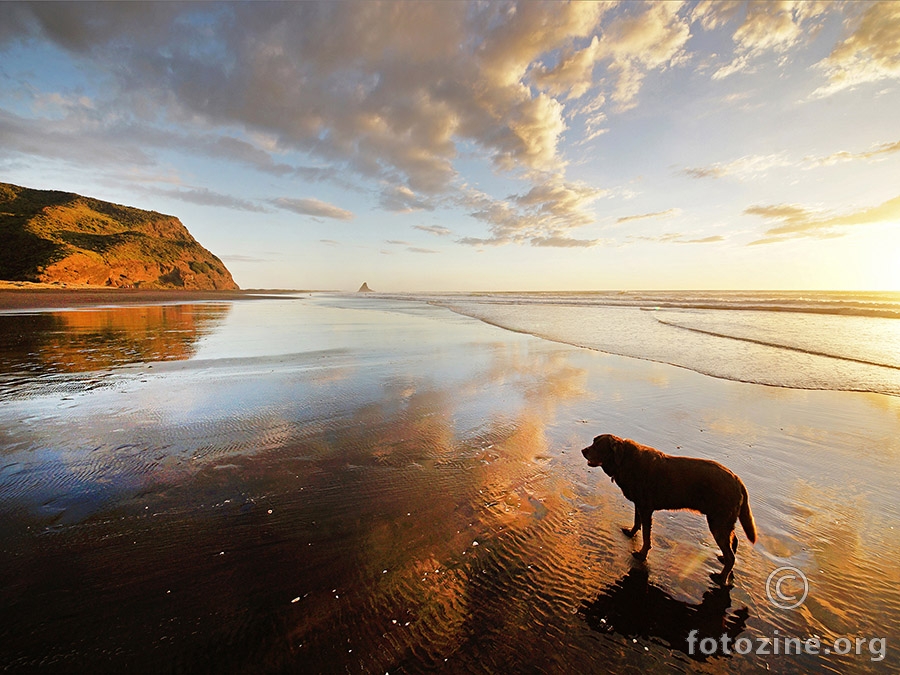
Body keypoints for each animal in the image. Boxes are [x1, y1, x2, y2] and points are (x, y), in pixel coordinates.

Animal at [580, 436, 756, 584]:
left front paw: (642, 554)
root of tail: (737, 479)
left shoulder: (646, 508)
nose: (583, 450)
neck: (624, 461)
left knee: (731, 555)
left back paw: (720, 578)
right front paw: (631, 532)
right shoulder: (639, 504)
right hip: (723, 521)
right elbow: (637, 522)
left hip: (717, 522)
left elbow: (646, 536)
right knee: (734, 542)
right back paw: (723, 561)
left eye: (598, 444)